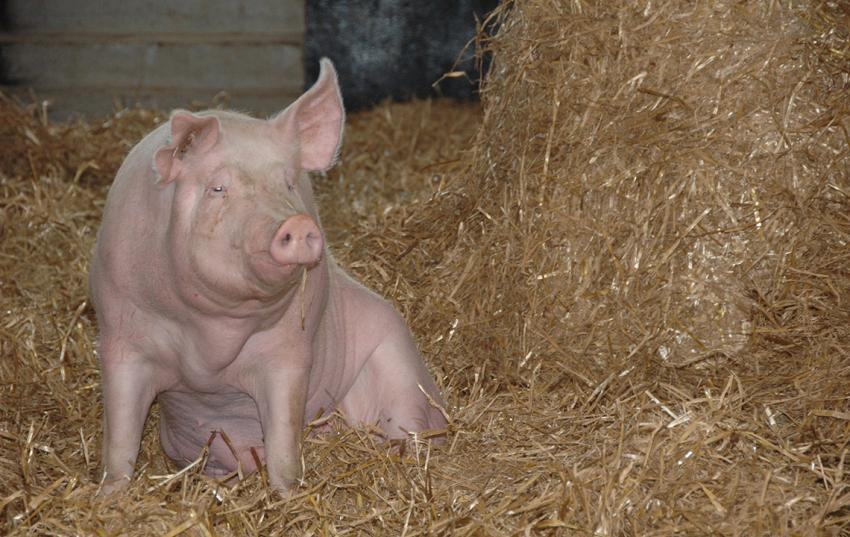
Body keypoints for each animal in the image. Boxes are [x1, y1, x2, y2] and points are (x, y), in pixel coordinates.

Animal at [88, 59, 448, 494]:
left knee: (408, 427)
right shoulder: (119, 338)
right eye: (218, 188)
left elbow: (283, 438)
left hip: (400, 367)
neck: (211, 343)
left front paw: (287, 493)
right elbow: (120, 437)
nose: (295, 223)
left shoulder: (289, 352)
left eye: (288, 183)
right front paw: (109, 496)